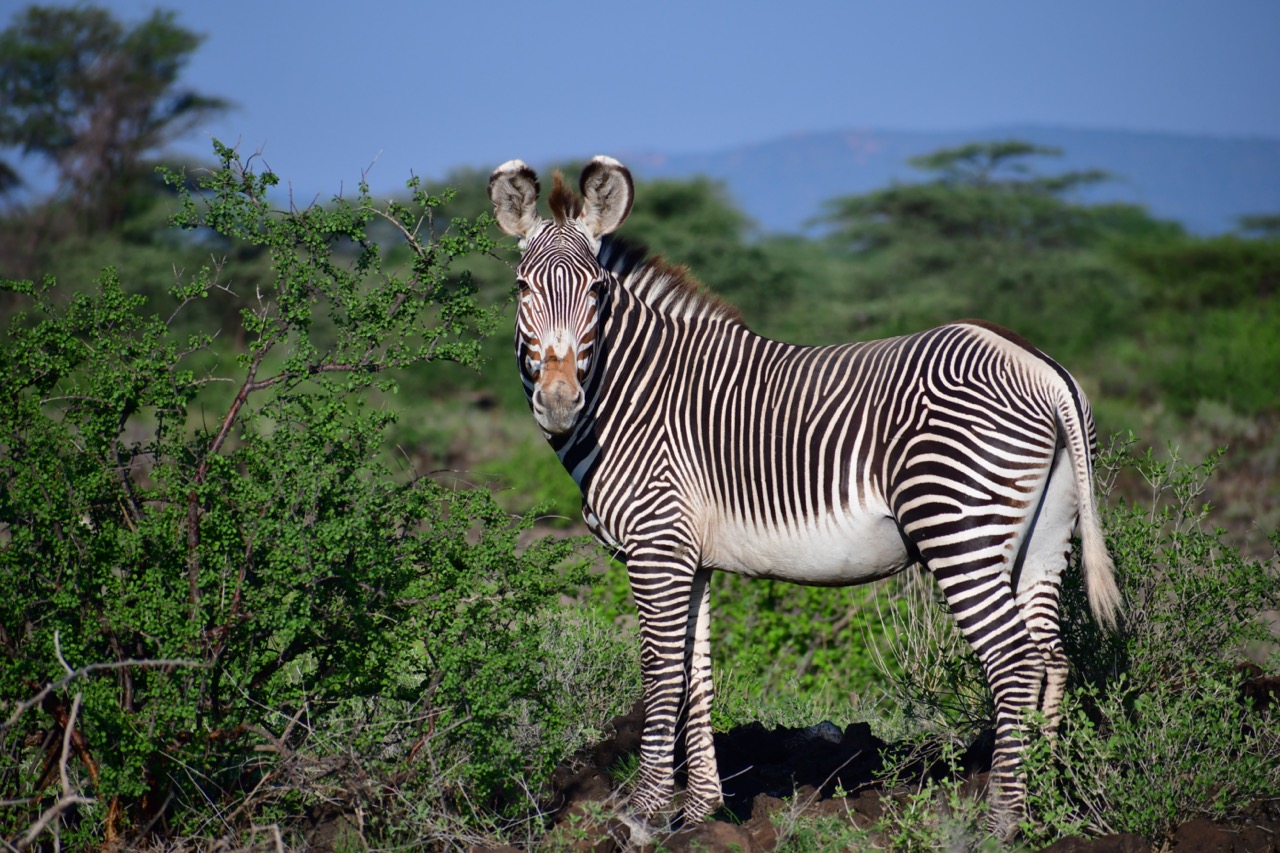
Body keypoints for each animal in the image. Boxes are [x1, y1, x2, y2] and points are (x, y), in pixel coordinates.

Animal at [486, 153, 1121, 829]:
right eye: (521, 289)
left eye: (597, 292)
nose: (559, 403)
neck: (631, 394)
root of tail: (1040, 366)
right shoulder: (690, 554)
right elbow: (696, 673)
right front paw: (702, 809)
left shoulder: (656, 545)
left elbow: (661, 672)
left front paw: (644, 812)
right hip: (1043, 537)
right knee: (1052, 658)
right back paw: (1043, 802)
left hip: (958, 528)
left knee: (1015, 661)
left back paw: (999, 822)